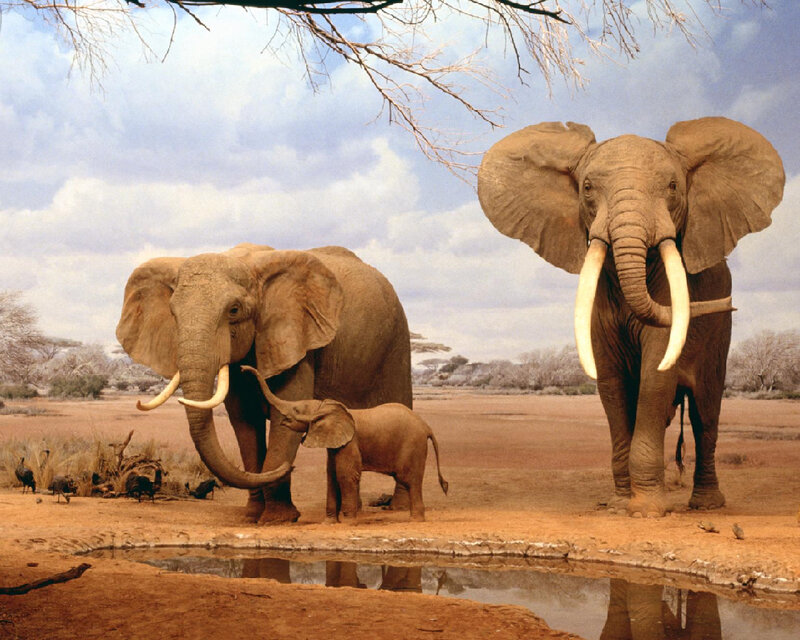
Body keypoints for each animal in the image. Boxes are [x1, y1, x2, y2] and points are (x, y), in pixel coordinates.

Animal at [116, 243, 412, 524]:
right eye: (173, 313)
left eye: (234, 310)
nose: (289, 467)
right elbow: (244, 422)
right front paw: (252, 516)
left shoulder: (296, 341)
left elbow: (284, 416)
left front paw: (276, 519)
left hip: (397, 341)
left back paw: (399, 508)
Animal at [244, 365, 449, 522]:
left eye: (296, 409)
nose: (243, 368)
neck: (324, 407)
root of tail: (426, 426)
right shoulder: (335, 444)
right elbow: (331, 475)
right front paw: (329, 523)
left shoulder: (350, 442)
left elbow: (345, 475)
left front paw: (348, 522)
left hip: (413, 445)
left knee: (410, 480)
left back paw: (416, 520)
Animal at [478, 117, 785, 516]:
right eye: (587, 188)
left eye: (673, 187)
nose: (730, 303)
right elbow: (611, 382)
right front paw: (619, 504)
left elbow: (656, 376)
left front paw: (646, 511)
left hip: (720, 334)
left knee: (705, 413)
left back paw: (706, 506)